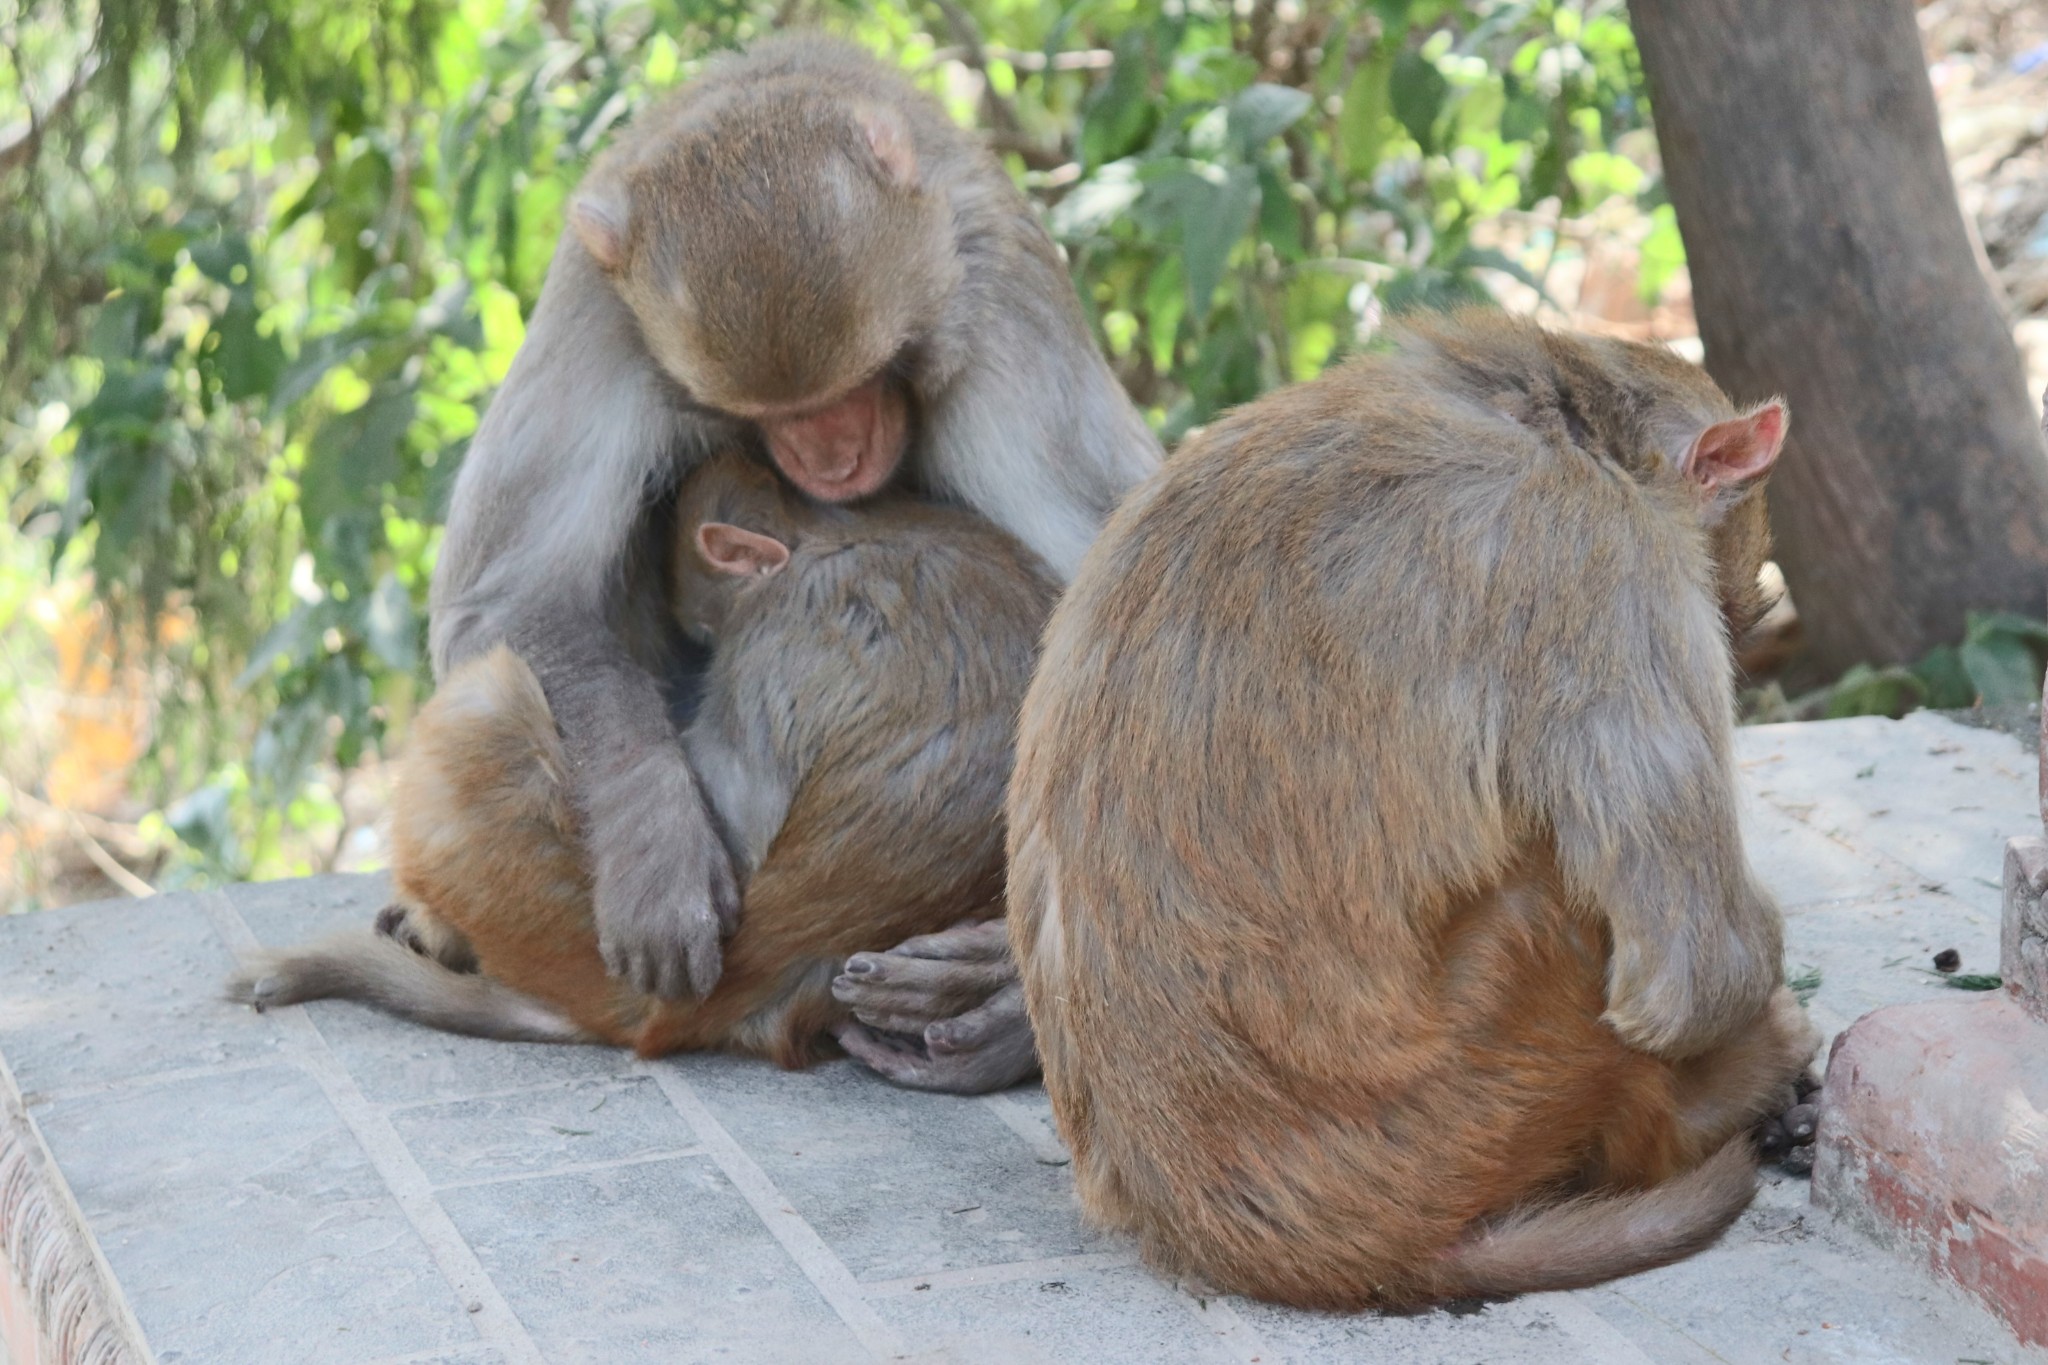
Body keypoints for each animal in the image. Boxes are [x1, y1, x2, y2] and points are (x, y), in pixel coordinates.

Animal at [228, 448, 1056, 1064]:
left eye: (711, 626)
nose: (704, 649)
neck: (837, 533)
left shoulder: (789, 616)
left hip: (542, 908)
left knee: (489, 693)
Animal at [432, 31, 1163, 1096]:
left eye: (863, 380)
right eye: (772, 414)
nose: (834, 459)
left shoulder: (997, 293)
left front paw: (1005, 998)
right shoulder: (596, 306)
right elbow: (505, 600)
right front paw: (654, 838)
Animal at [999, 313, 1818, 1309]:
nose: (1740, 617)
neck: (1547, 416)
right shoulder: (1608, 562)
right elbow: (1692, 973)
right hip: (1482, 1077)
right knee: (1557, 899)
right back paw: (1725, 1098)